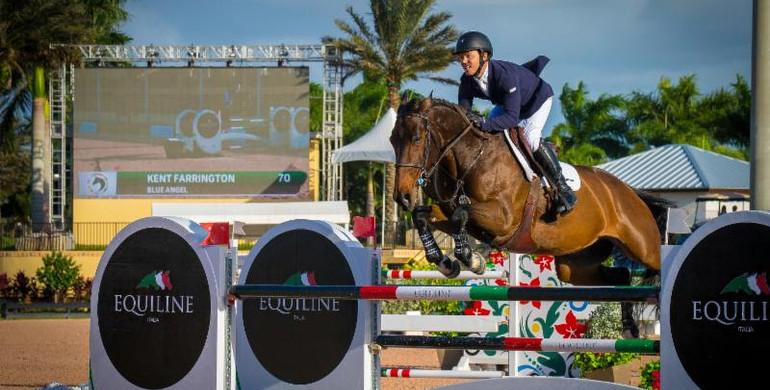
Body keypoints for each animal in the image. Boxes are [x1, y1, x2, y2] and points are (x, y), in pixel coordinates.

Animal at [388, 96, 668, 336]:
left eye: (416, 138)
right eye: (391, 140)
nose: (402, 197)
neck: (472, 157)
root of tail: (629, 191)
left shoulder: (503, 219)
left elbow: (460, 215)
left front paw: (472, 259)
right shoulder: (456, 214)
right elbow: (424, 216)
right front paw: (445, 262)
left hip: (643, 247)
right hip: (575, 264)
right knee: (621, 276)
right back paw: (629, 327)